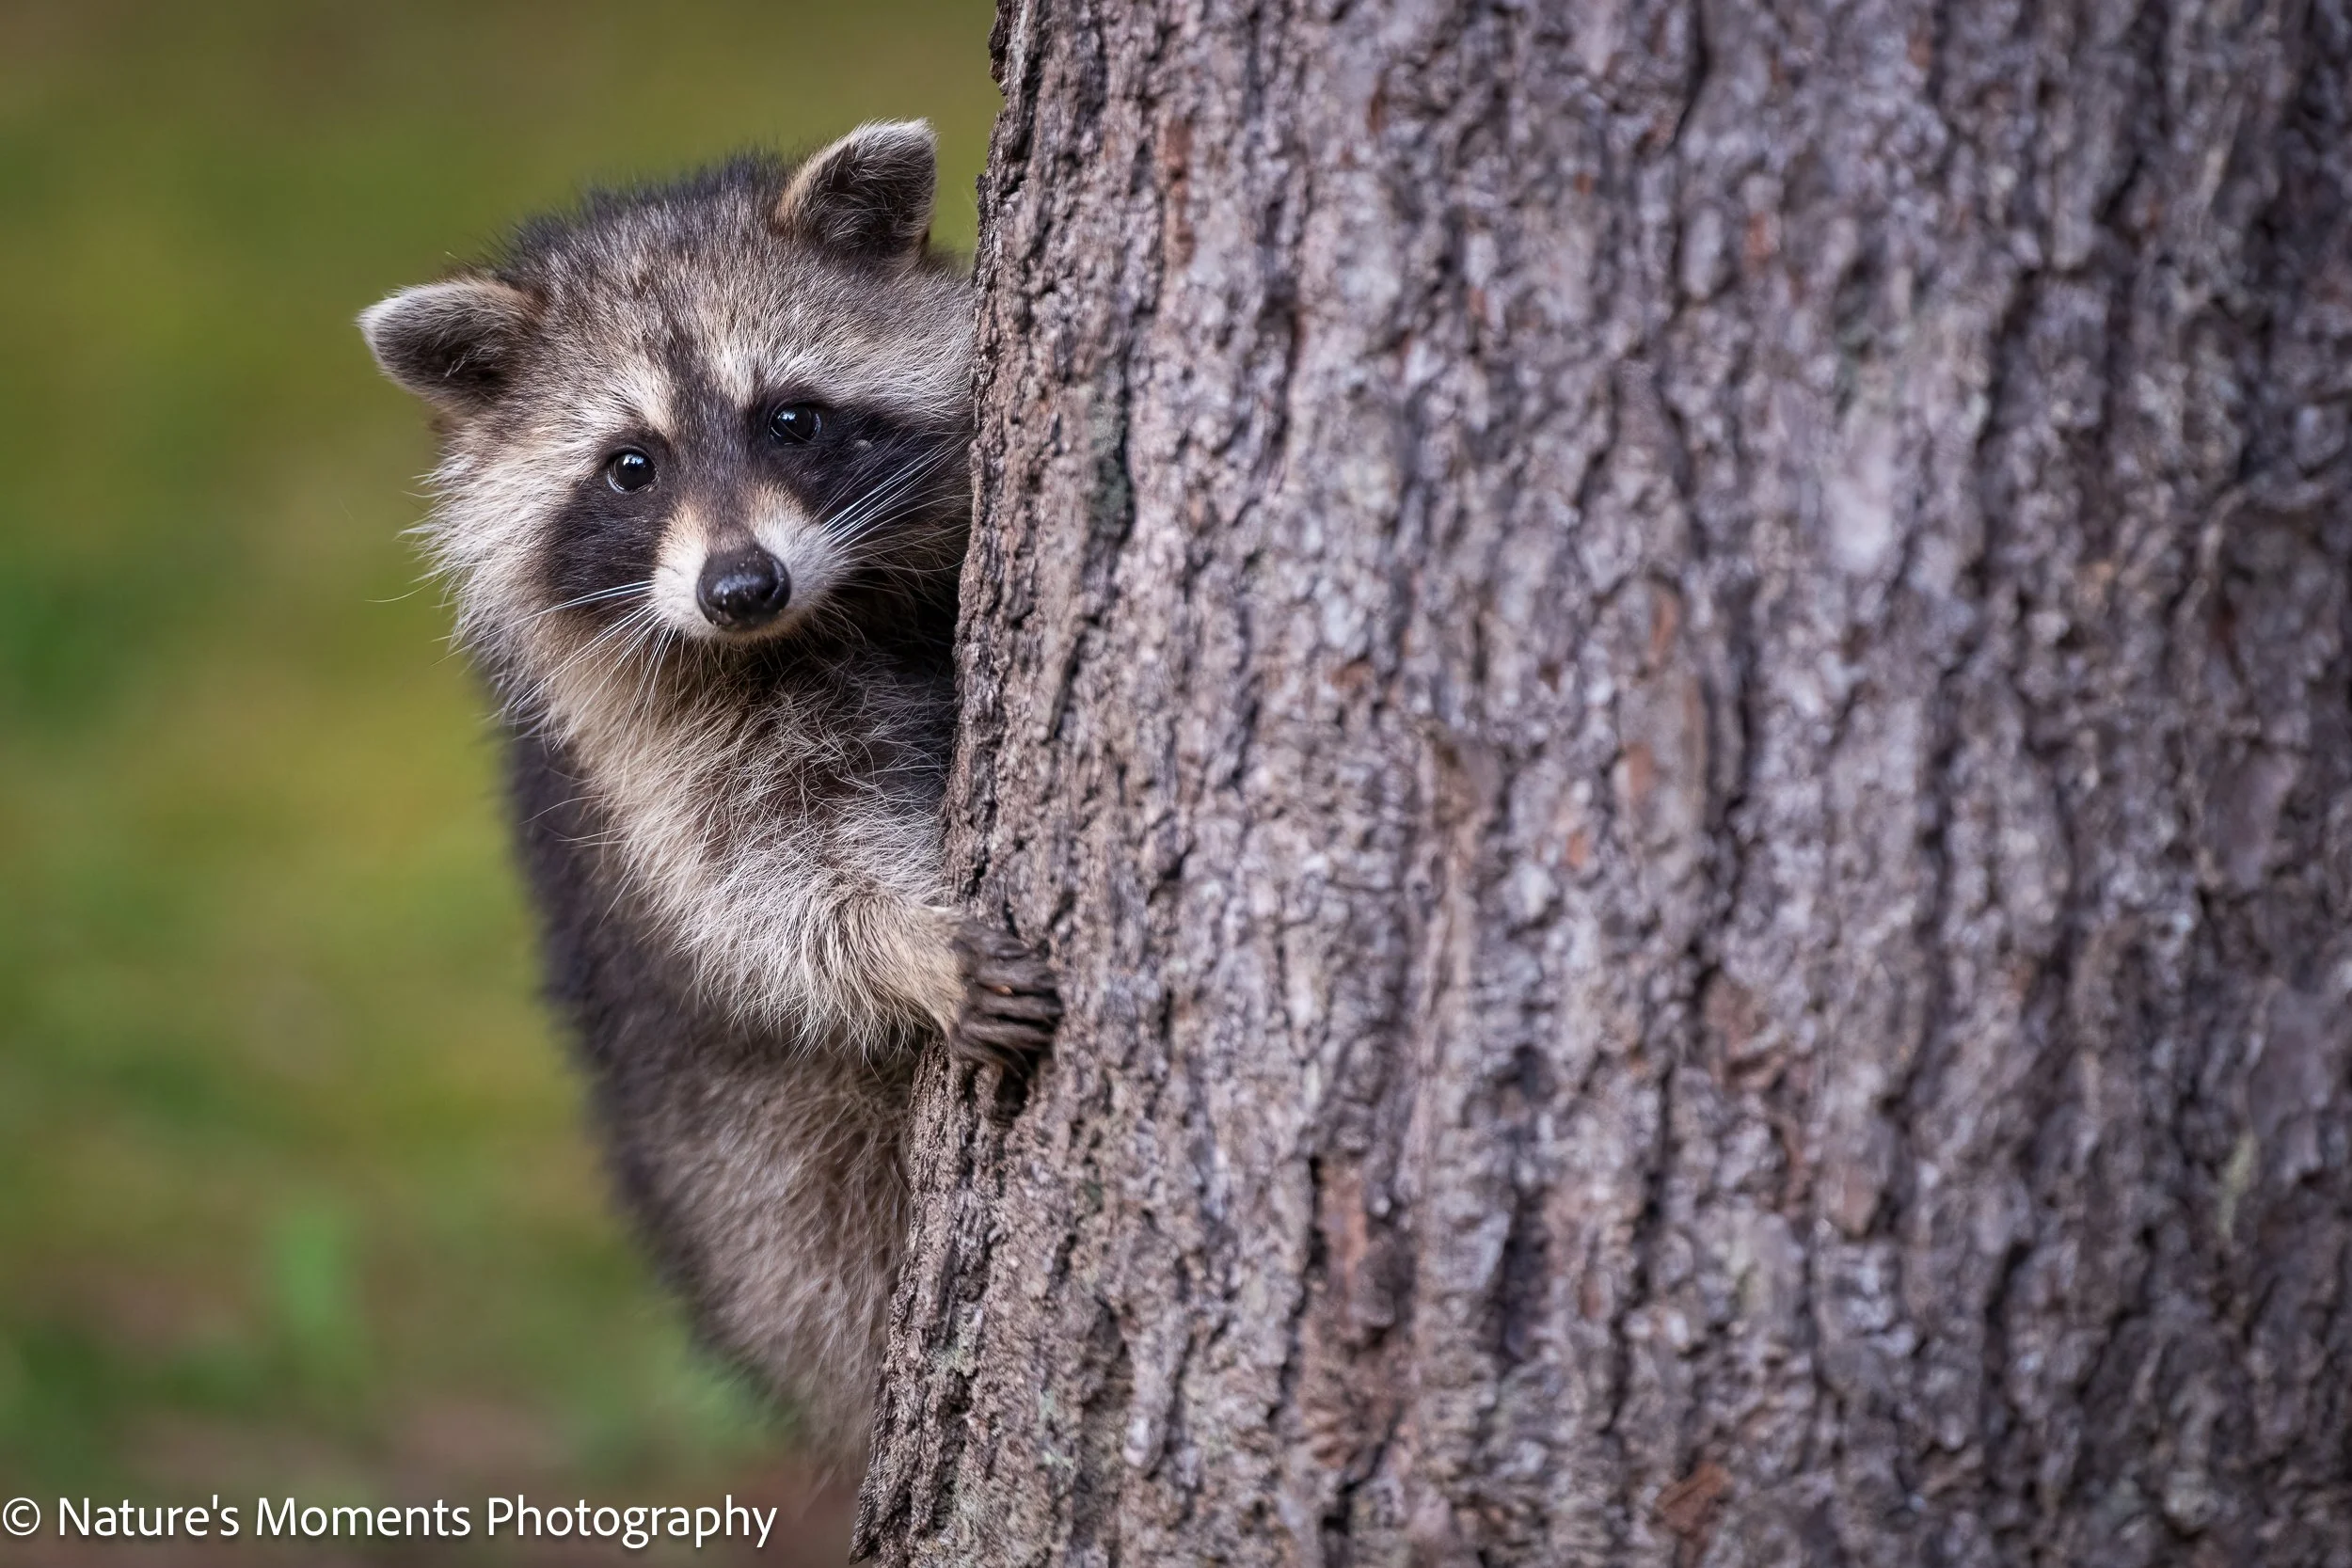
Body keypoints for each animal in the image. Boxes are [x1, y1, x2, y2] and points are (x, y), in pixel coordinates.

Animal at [358, 121, 1057, 1449]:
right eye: (631, 465)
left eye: (790, 417)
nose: (741, 586)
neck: (820, 618)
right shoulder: (647, 750)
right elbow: (766, 880)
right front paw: (907, 942)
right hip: (769, 1205)